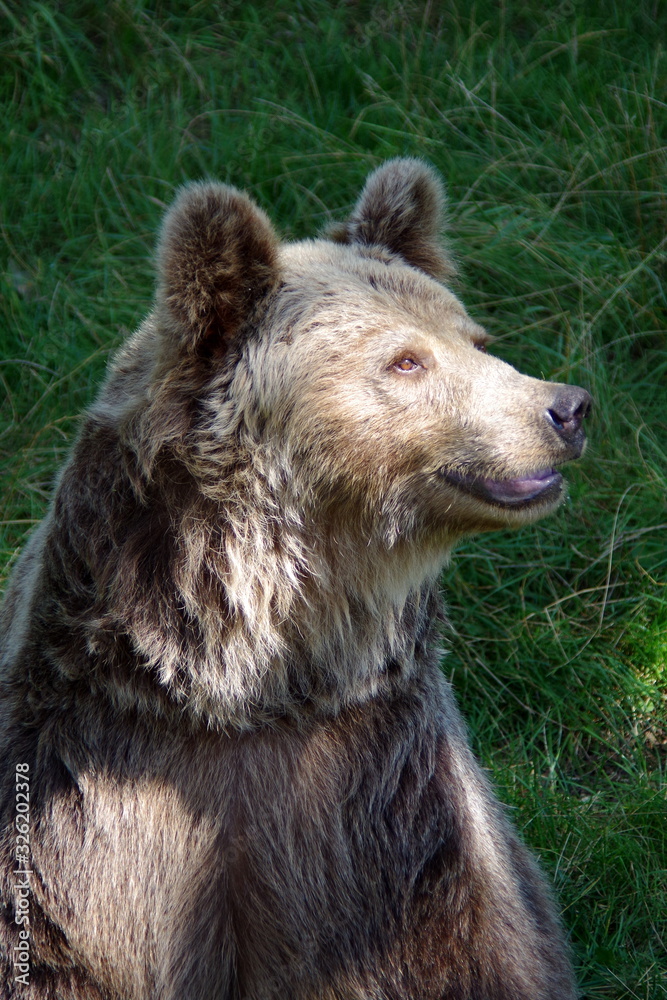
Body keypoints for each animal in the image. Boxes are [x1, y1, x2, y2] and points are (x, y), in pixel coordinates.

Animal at [0, 159, 591, 1000]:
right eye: (405, 359)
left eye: (477, 339)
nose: (565, 407)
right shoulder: (94, 790)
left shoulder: (382, 808)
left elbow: (466, 951)